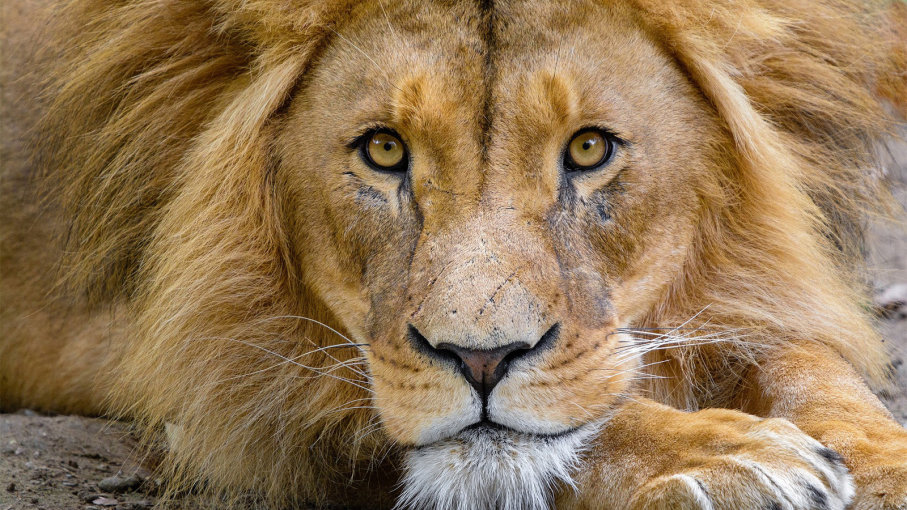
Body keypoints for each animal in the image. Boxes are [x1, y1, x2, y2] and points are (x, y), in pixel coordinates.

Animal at [2, 0, 907, 508]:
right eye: (383, 151)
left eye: (587, 149)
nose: (481, 360)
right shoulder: (224, 377)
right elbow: (571, 431)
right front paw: (727, 455)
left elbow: (810, 367)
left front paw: (881, 464)